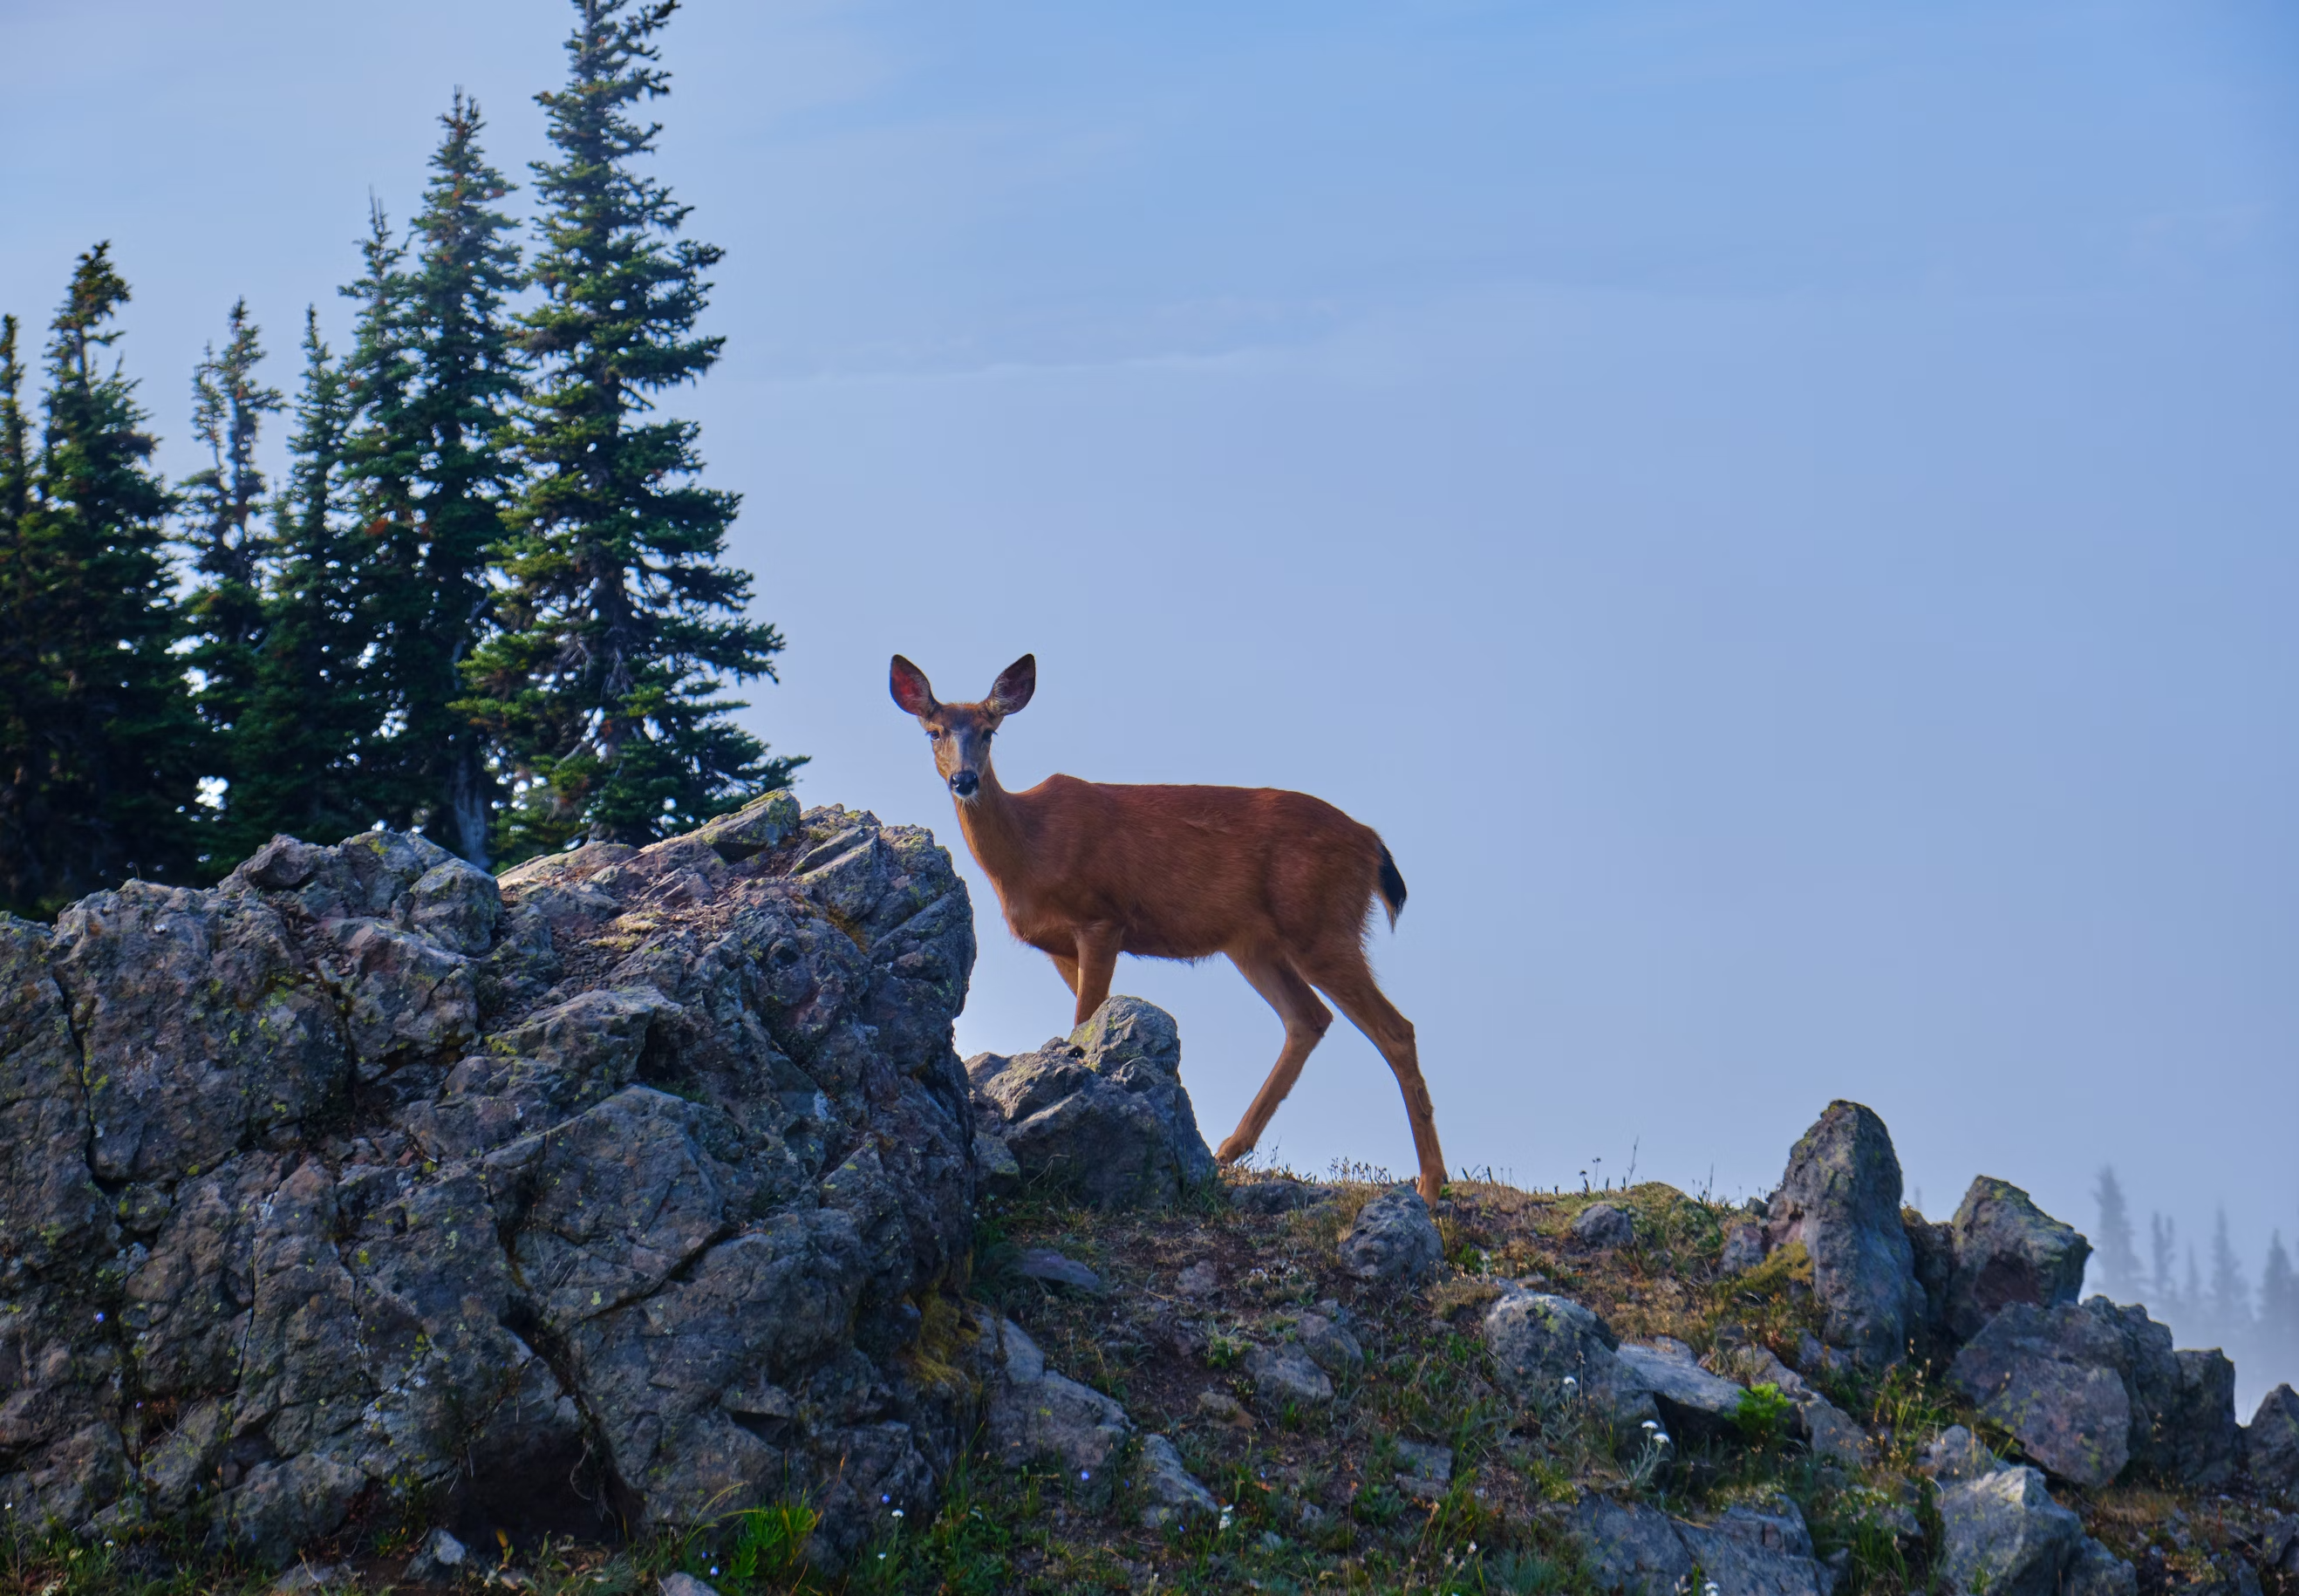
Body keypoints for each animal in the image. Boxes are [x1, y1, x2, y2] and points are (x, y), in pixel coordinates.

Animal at [889, 652, 1448, 1203]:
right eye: (934, 732)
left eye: (989, 732)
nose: (964, 780)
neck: (1029, 851)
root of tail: (1373, 844)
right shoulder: (1060, 947)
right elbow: (1085, 1020)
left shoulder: (1102, 918)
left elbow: (1085, 1018)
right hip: (1256, 945)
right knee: (1308, 1018)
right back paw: (1228, 1149)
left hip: (1321, 925)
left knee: (1394, 1029)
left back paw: (1430, 1183)